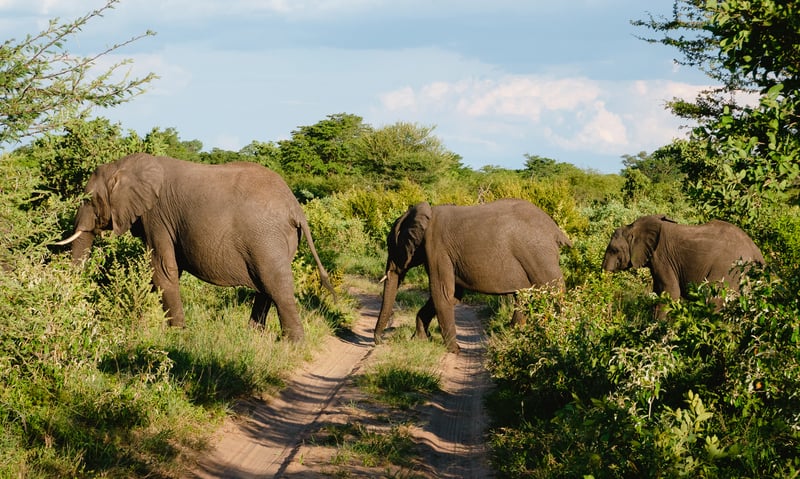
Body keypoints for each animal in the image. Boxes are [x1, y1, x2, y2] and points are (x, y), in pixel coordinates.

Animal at [56, 153, 335, 341]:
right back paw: (252, 335)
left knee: (275, 284)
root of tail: (295, 207)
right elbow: (164, 272)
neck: (126, 165)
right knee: (266, 286)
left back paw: (292, 344)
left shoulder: (156, 216)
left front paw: (176, 335)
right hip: (277, 241)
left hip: (266, 236)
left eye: (88, 199)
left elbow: (163, 269)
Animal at [373, 199, 573, 353]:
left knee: (555, 294)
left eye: (391, 246)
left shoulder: (437, 248)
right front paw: (421, 339)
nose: (379, 341)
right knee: (524, 297)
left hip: (541, 258)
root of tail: (555, 230)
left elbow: (442, 293)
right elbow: (452, 295)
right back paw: (513, 336)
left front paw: (454, 350)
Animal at [601, 214, 764, 314]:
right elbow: (658, 292)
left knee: (713, 300)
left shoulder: (662, 257)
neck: (633, 227)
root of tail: (756, 250)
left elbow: (670, 293)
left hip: (730, 268)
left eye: (614, 250)